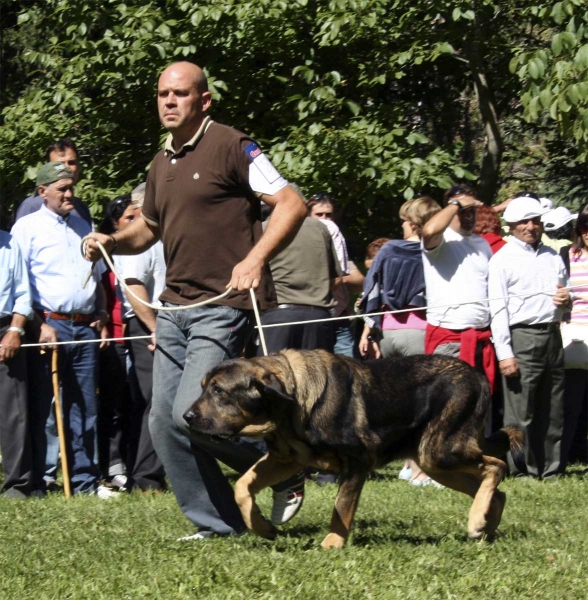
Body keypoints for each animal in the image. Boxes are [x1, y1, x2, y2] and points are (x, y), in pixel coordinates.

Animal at [184, 346, 524, 548]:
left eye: (218, 391)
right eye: (204, 389)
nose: (187, 417)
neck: (290, 405)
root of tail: (478, 377)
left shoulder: (357, 460)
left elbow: (342, 507)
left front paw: (331, 544)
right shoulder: (284, 459)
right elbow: (243, 486)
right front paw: (262, 527)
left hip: (441, 450)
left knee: (497, 466)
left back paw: (476, 521)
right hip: (435, 462)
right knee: (497, 490)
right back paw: (484, 528)